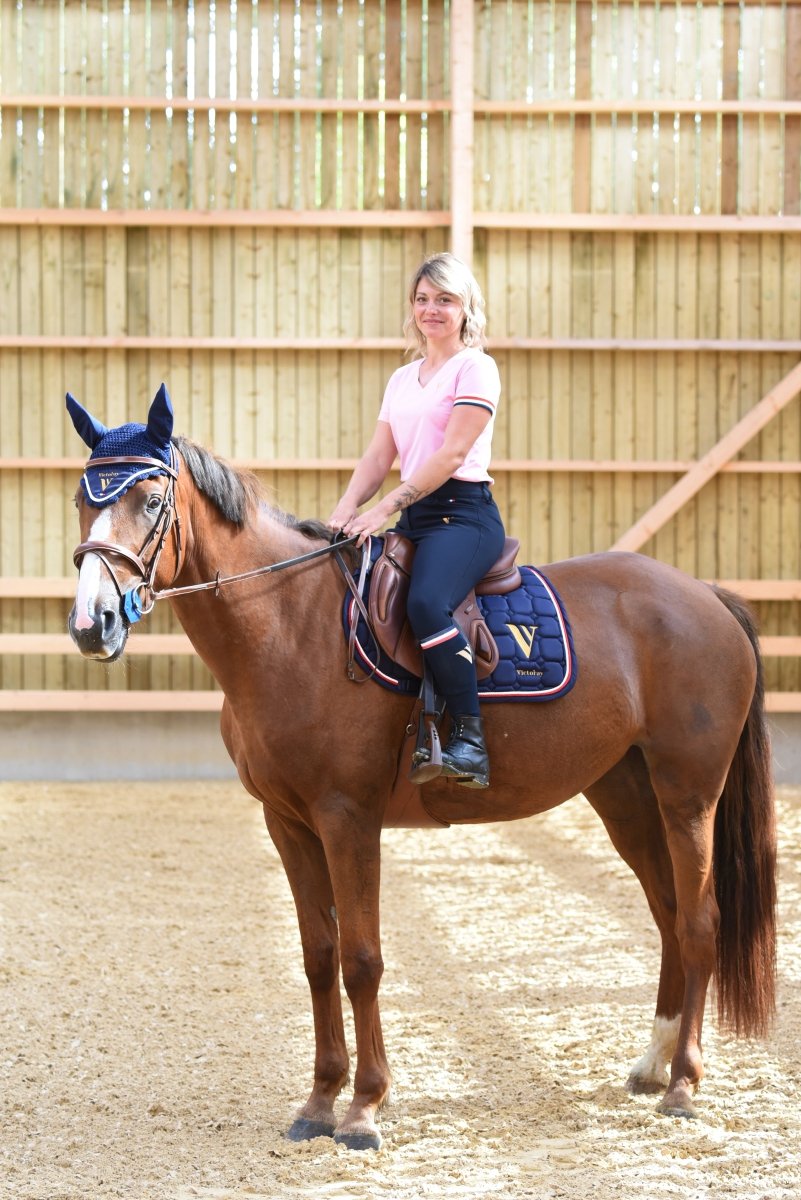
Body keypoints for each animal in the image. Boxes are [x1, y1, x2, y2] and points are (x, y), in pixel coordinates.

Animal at [66, 385, 777, 1151]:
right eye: (82, 496)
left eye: (151, 499)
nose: (93, 623)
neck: (292, 625)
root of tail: (706, 595)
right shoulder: (287, 822)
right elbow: (318, 957)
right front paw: (318, 1102)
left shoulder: (348, 817)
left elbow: (362, 959)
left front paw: (363, 1109)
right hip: (625, 797)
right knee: (669, 915)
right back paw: (652, 1064)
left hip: (687, 796)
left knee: (700, 922)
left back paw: (683, 1085)